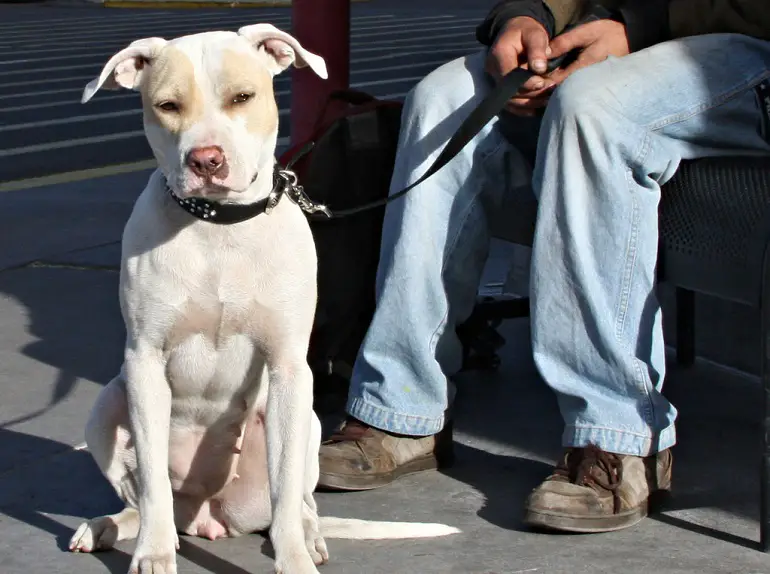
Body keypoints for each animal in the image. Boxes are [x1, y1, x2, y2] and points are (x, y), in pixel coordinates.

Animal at [67, 23, 456, 574]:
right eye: (167, 105)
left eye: (242, 97)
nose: (206, 159)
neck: (219, 228)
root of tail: (210, 515)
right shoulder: (144, 362)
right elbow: (153, 486)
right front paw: (153, 554)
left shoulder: (290, 367)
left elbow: (287, 486)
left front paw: (294, 559)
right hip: (107, 406)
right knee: (142, 497)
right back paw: (109, 526)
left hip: (307, 422)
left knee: (299, 500)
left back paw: (310, 536)